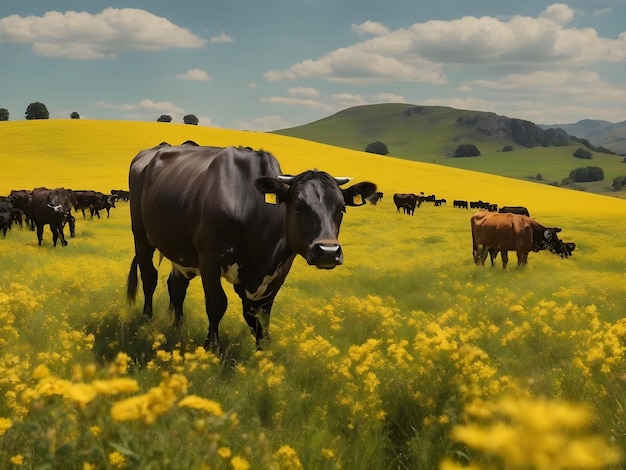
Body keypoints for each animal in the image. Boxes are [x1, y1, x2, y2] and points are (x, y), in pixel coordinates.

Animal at [127, 142, 376, 348]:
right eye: (297, 206)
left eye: (341, 208)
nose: (328, 252)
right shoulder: (209, 258)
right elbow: (216, 304)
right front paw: (211, 348)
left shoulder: (278, 269)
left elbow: (259, 313)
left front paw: (262, 353)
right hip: (141, 237)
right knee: (149, 277)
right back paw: (147, 321)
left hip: (180, 252)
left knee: (176, 285)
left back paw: (178, 327)